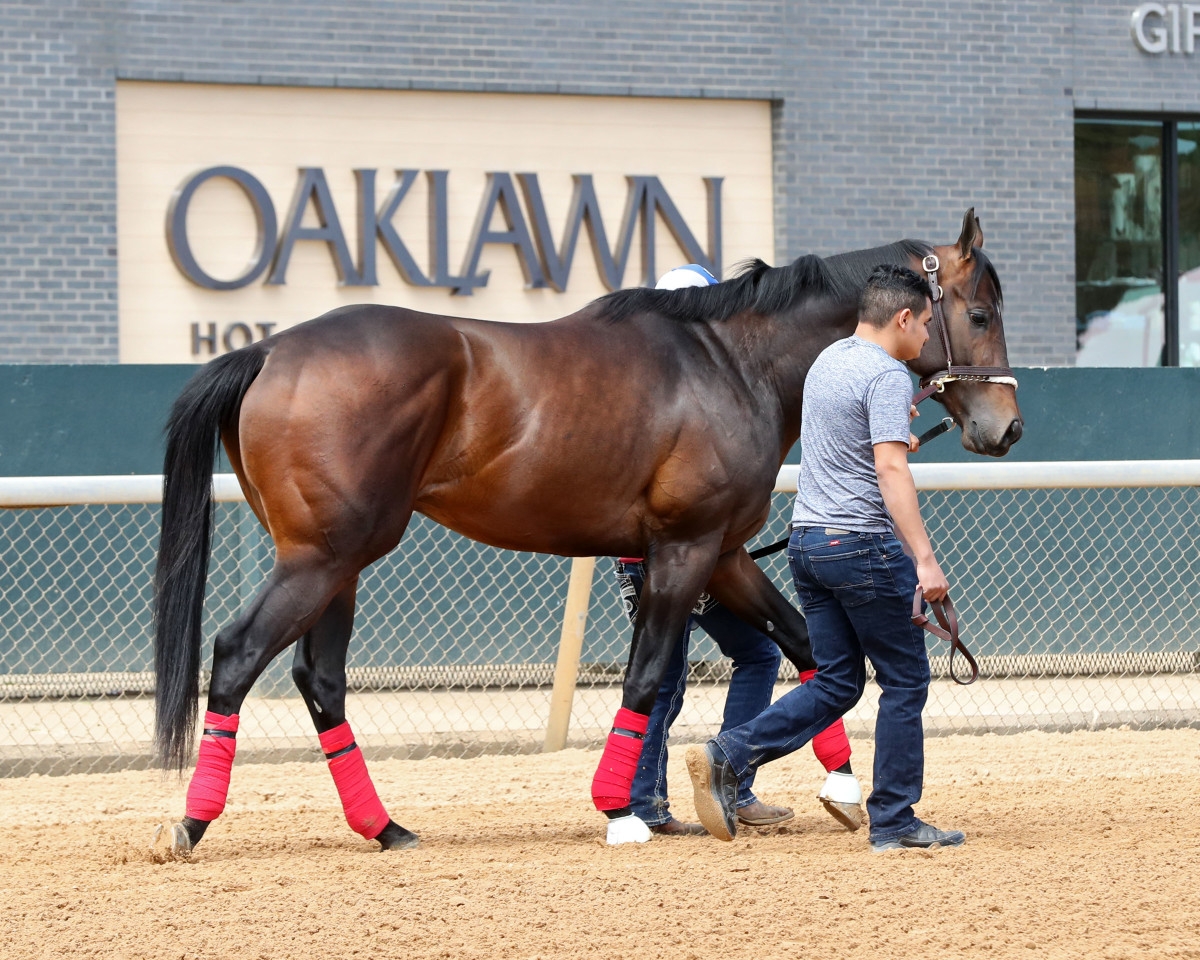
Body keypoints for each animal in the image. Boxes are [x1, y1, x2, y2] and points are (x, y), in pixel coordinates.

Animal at [151, 208, 1021, 858]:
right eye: (978, 313)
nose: (1005, 427)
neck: (729, 361)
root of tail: (269, 350)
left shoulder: (724, 552)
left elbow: (807, 649)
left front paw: (836, 786)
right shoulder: (683, 550)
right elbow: (646, 679)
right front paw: (621, 811)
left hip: (339, 563)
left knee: (320, 681)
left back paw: (384, 826)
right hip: (321, 557)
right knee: (237, 656)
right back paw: (191, 823)